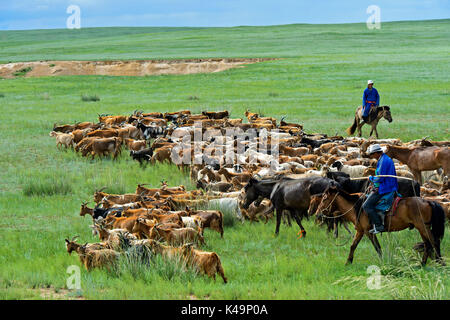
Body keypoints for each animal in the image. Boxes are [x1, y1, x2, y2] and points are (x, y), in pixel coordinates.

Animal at [314, 185, 444, 264]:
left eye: (324, 198)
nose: (317, 214)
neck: (358, 207)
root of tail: (428, 201)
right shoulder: (360, 231)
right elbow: (353, 246)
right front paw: (348, 262)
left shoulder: (368, 232)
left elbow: (377, 247)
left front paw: (382, 262)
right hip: (422, 228)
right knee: (428, 244)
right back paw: (423, 264)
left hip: (423, 227)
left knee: (433, 242)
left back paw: (439, 263)